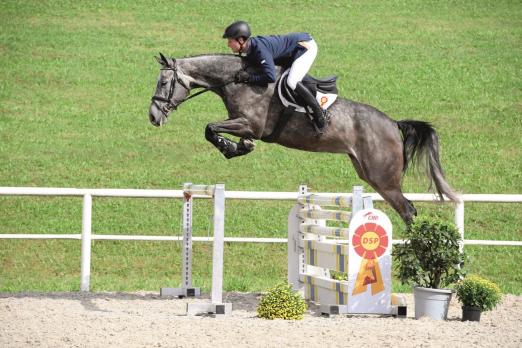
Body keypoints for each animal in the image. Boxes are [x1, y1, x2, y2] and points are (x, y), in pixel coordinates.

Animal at [147, 53, 456, 224]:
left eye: (163, 82)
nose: (153, 115)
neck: (237, 79)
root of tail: (393, 124)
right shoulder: (243, 125)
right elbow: (217, 131)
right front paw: (239, 147)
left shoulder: (250, 124)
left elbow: (210, 128)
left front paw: (228, 148)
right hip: (369, 174)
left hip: (385, 179)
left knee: (408, 210)